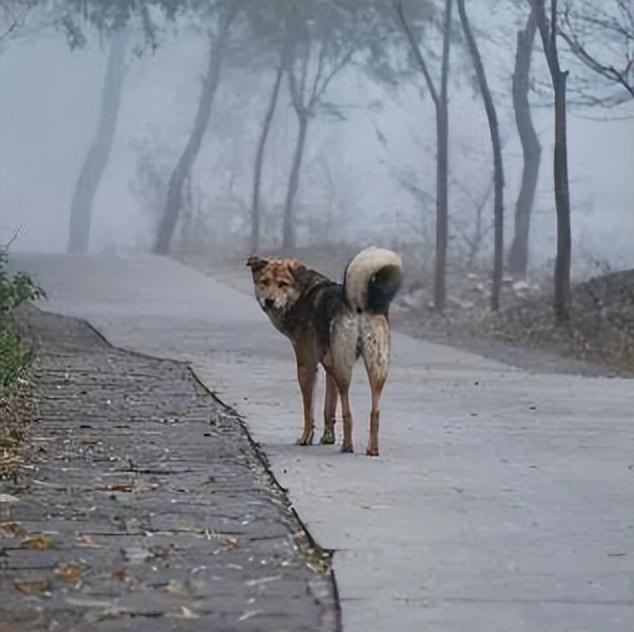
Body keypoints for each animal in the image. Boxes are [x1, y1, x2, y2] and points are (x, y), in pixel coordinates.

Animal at [246, 246, 400, 454]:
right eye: (264, 282)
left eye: (282, 284)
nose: (268, 301)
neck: (301, 294)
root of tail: (358, 301)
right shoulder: (329, 367)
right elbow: (329, 407)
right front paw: (327, 438)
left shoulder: (307, 365)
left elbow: (308, 408)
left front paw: (306, 438)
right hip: (377, 368)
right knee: (374, 411)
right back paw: (372, 449)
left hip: (344, 368)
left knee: (347, 410)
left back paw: (347, 445)